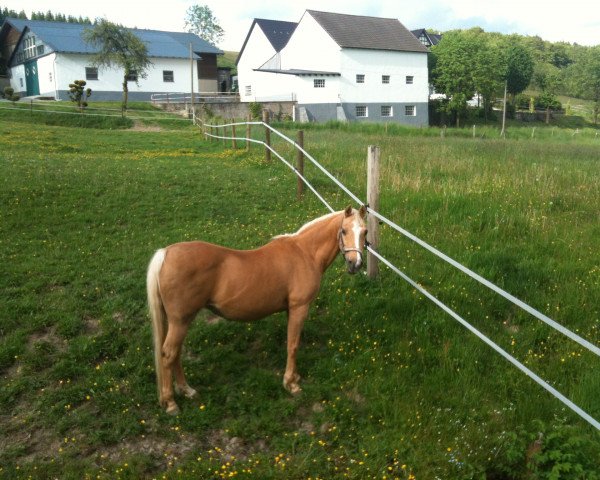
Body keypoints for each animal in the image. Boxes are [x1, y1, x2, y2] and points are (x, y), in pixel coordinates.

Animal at [148, 204, 368, 414]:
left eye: (365, 232)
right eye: (344, 230)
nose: (355, 264)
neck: (305, 253)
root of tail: (166, 253)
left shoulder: (290, 310)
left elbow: (291, 342)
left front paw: (294, 377)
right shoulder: (299, 308)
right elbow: (293, 345)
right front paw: (291, 384)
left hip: (178, 322)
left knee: (175, 354)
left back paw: (187, 391)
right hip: (180, 321)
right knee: (168, 354)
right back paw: (171, 403)